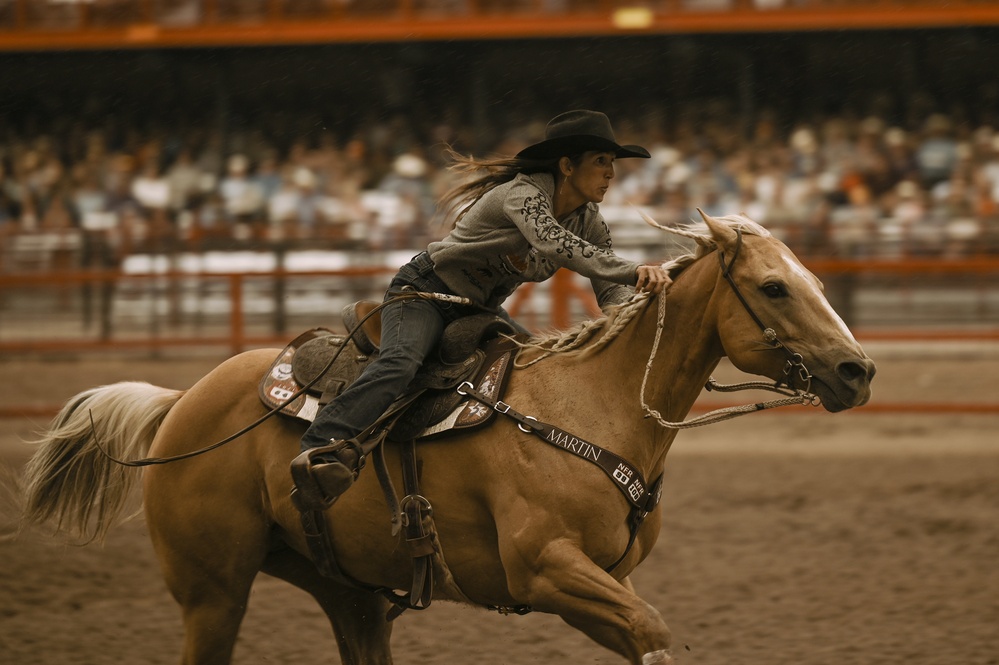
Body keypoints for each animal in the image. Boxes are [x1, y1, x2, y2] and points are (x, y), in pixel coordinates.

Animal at [17, 213, 876, 664]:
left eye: (816, 282)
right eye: (773, 286)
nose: (857, 369)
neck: (589, 407)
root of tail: (181, 403)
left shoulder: (605, 579)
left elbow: (644, 631)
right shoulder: (545, 568)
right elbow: (654, 630)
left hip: (347, 590)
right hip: (211, 590)